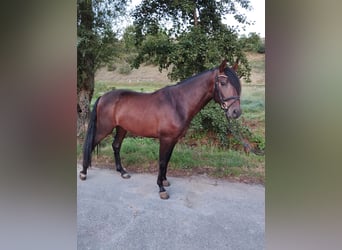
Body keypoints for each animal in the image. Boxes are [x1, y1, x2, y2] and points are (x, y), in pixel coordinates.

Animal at [80, 59, 242, 199]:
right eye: (223, 82)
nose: (236, 112)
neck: (177, 103)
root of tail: (102, 97)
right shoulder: (165, 139)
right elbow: (162, 161)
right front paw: (161, 189)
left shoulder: (173, 140)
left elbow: (167, 160)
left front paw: (164, 180)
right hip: (104, 128)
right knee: (90, 144)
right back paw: (83, 172)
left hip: (121, 128)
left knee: (116, 146)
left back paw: (122, 172)